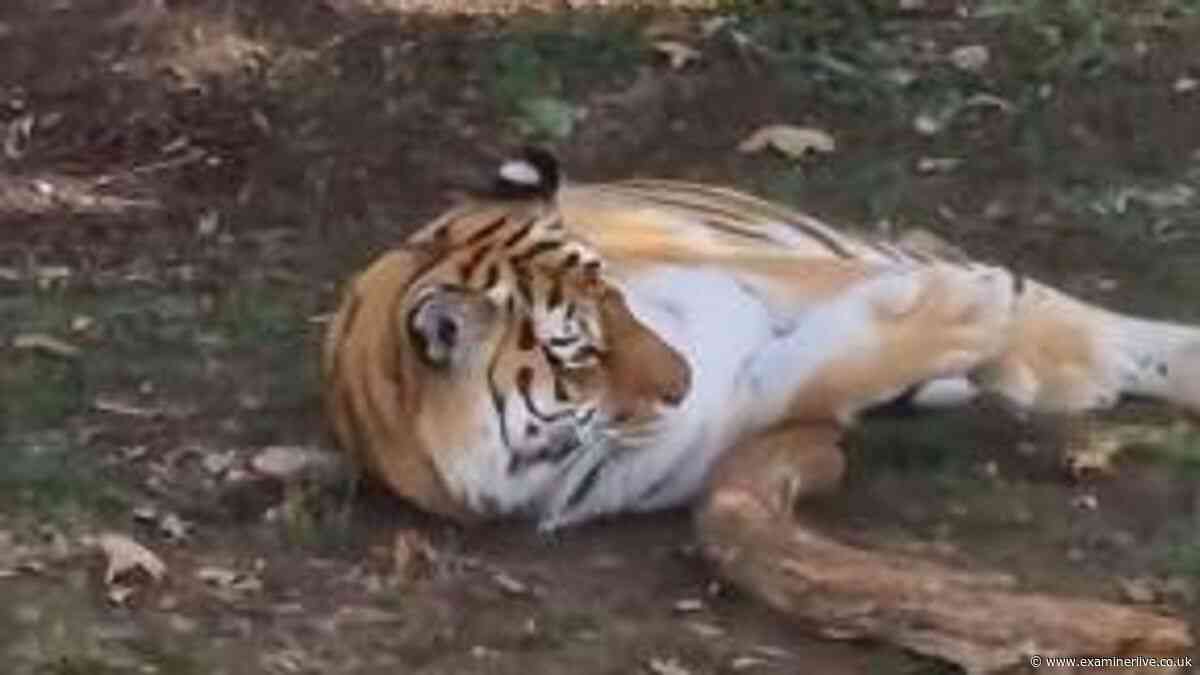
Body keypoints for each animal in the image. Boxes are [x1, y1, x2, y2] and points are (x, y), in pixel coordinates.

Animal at [321, 147, 1197, 667]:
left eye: (619, 300)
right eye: (582, 353)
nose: (678, 380)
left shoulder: (754, 279)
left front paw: (996, 321)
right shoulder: (695, 429)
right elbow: (810, 365)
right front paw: (973, 324)